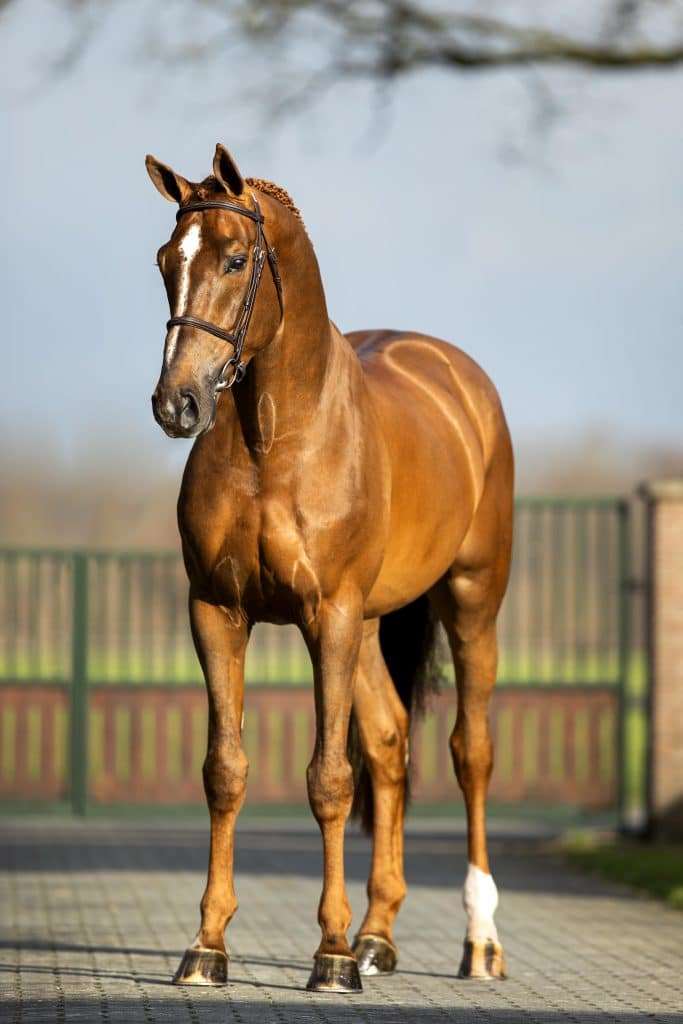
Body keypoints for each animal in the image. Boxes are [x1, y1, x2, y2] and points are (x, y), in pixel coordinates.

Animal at [146, 144, 514, 993]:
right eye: (164, 261)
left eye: (235, 259)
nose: (177, 405)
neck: (274, 439)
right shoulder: (217, 612)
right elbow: (227, 770)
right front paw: (207, 946)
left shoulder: (330, 616)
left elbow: (328, 779)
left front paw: (331, 955)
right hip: (373, 624)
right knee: (388, 742)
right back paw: (379, 935)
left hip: (469, 602)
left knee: (468, 753)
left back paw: (477, 942)